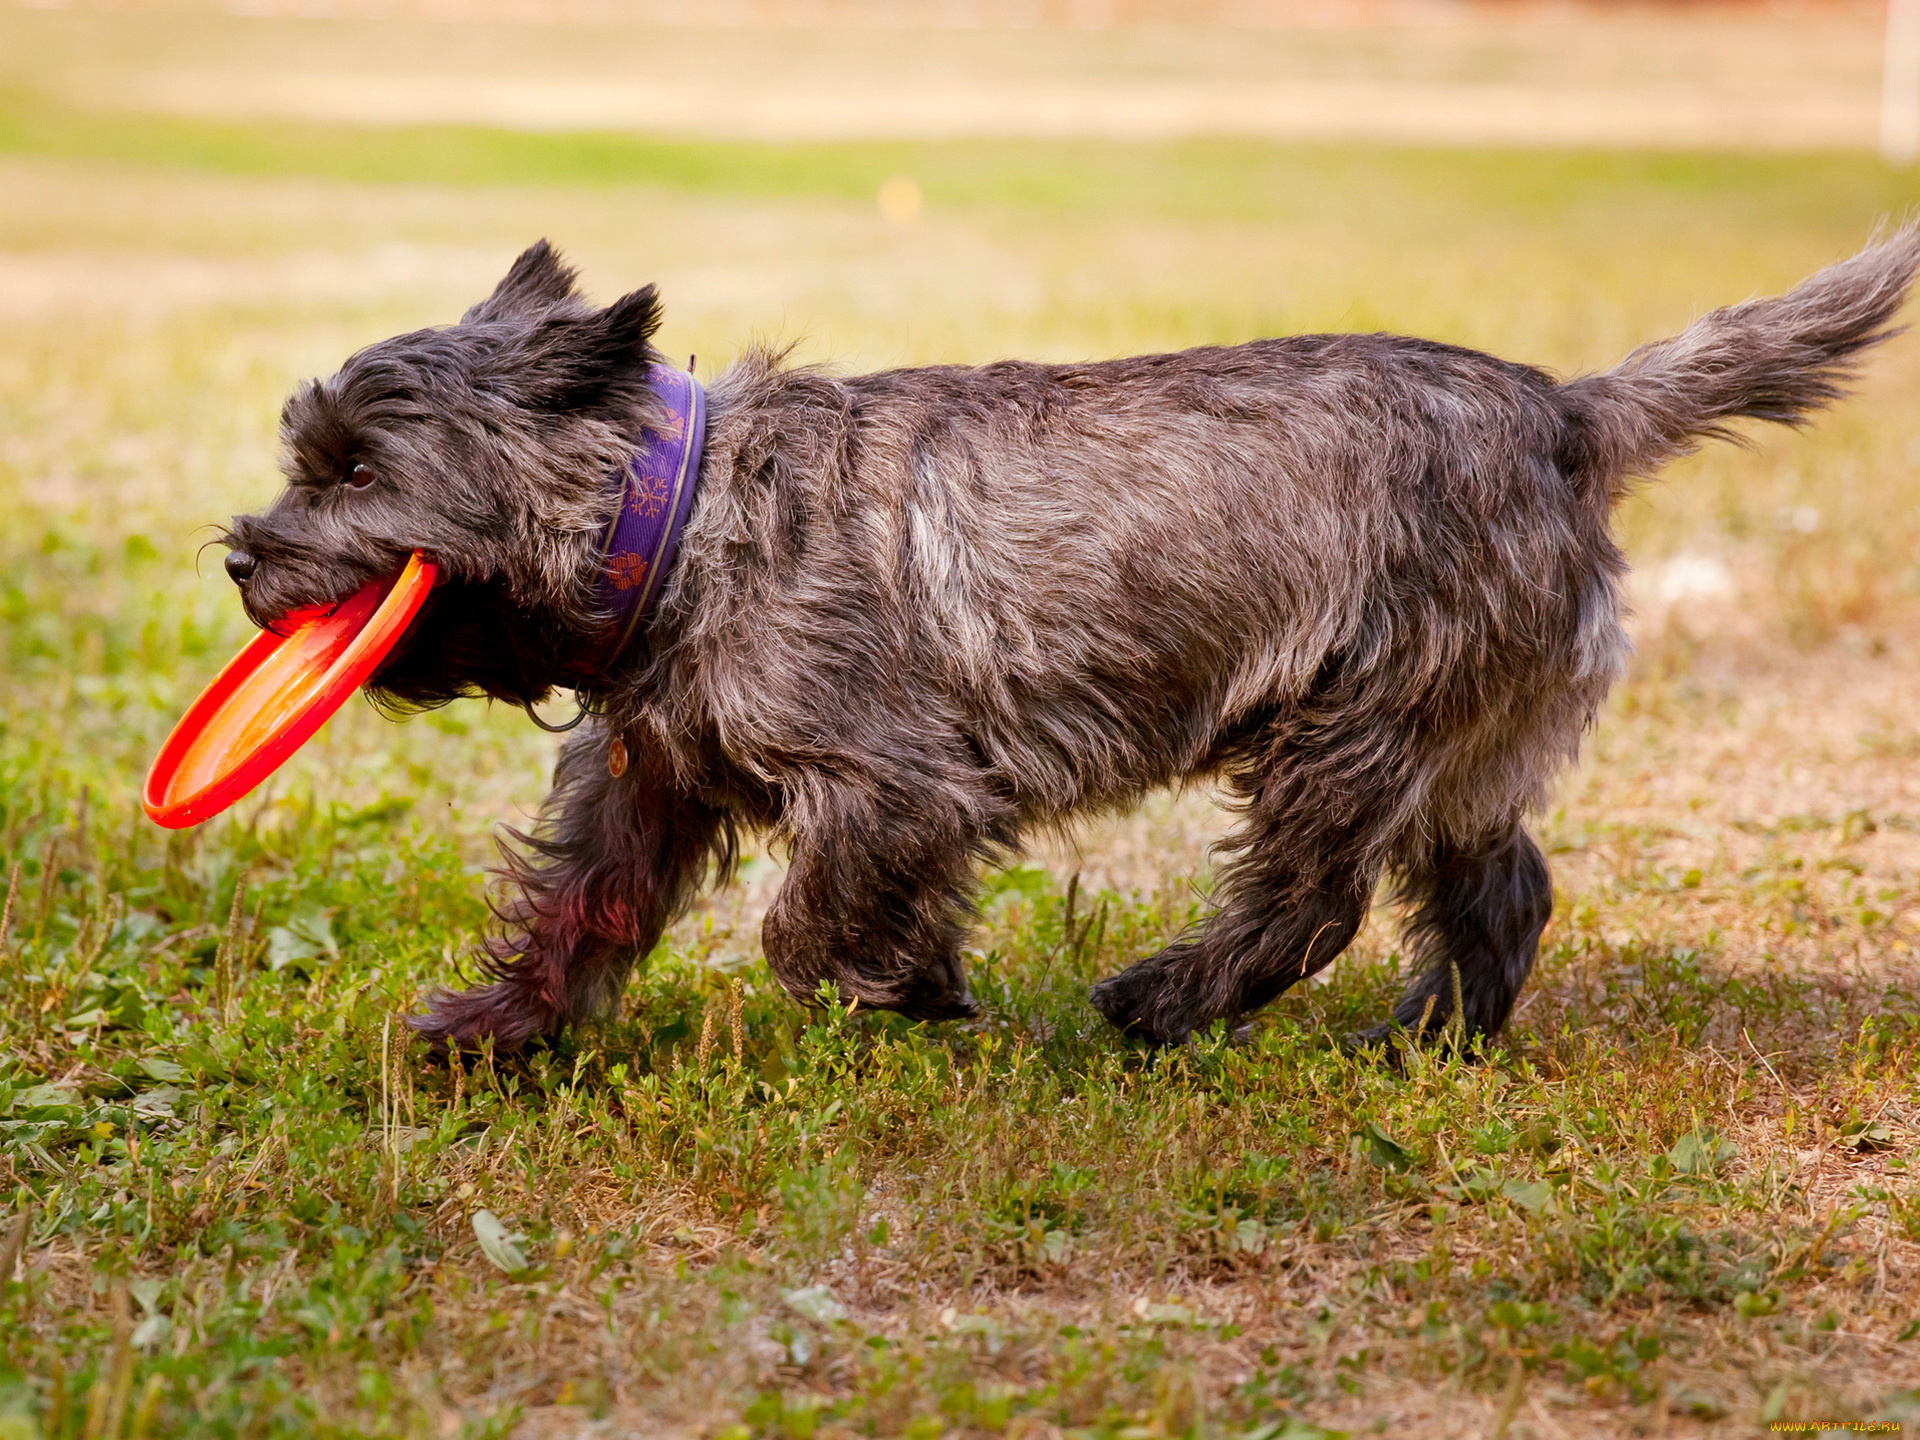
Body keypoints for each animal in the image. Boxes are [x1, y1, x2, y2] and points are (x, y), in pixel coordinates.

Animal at [220, 231, 1904, 1052]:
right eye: (309, 458)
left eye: (355, 470)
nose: (242, 558)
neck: (683, 520)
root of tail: (1568, 411)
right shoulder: (649, 781)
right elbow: (581, 905)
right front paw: (493, 1029)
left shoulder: (896, 782)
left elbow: (810, 917)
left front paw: (911, 987)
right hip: (1459, 748)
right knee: (1502, 890)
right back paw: (1433, 1043)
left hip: (1348, 726)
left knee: (1308, 904)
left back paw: (1161, 1003)